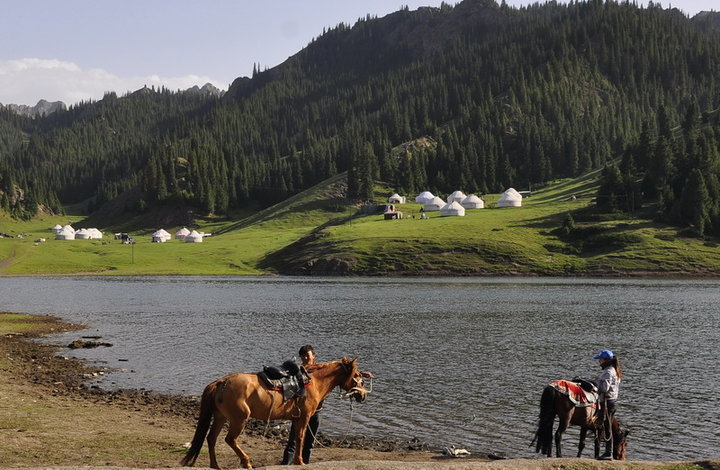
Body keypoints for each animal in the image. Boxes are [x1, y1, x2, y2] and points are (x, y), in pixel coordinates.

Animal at [180, 356, 372, 466]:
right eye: (357, 375)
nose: (363, 395)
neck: (313, 382)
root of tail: (221, 382)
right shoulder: (304, 418)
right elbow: (301, 438)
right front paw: (299, 462)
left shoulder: (296, 419)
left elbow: (295, 439)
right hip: (239, 419)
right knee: (230, 439)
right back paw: (246, 462)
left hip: (220, 417)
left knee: (211, 439)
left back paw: (216, 465)